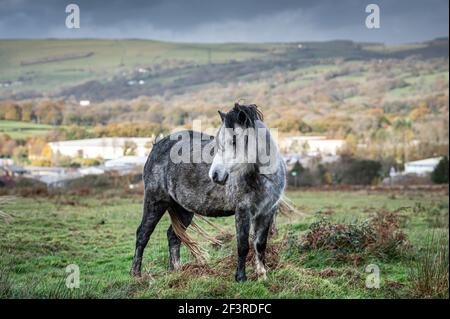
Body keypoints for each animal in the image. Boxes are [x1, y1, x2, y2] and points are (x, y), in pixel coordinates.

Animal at [131, 103, 284, 282]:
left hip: (183, 209)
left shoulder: (266, 211)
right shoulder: (242, 211)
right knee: (143, 234)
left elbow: (260, 244)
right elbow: (243, 245)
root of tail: (157, 145)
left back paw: (177, 271)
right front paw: (240, 277)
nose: (215, 175)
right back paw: (136, 274)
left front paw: (262, 275)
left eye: (234, 141)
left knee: (173, 236)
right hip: (155, 201)